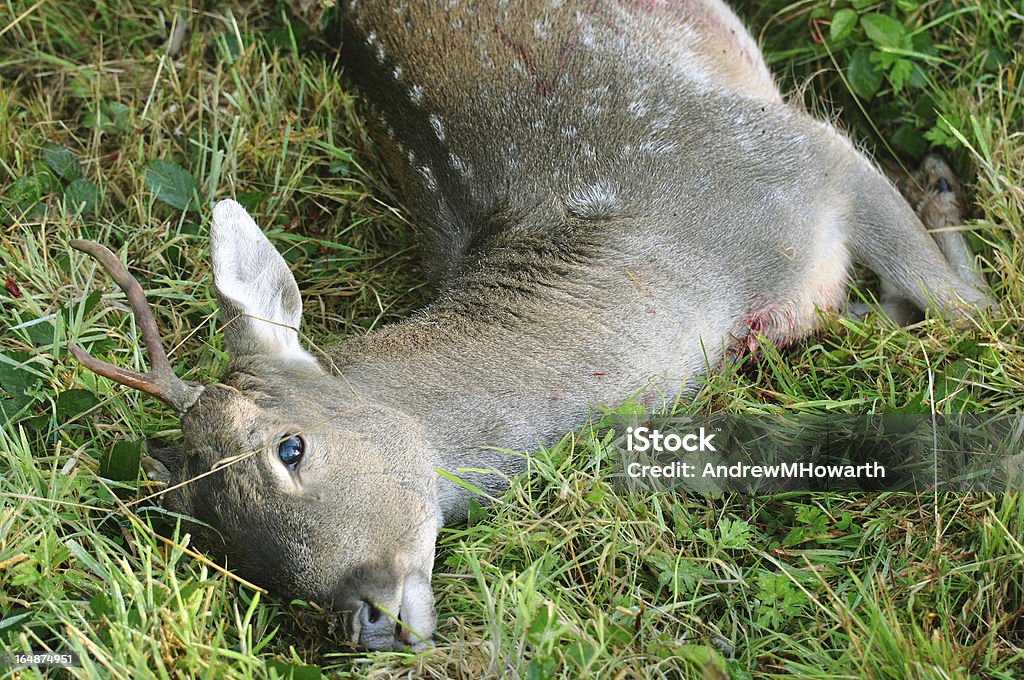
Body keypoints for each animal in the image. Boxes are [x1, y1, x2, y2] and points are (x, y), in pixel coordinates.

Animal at [68, 0, 987, 651]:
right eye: (205, 528)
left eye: (289, 448)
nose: (362, 620)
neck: (696, 286)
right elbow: (904, 316)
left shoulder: (792, 152)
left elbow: (963, 310)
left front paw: (942, 187)